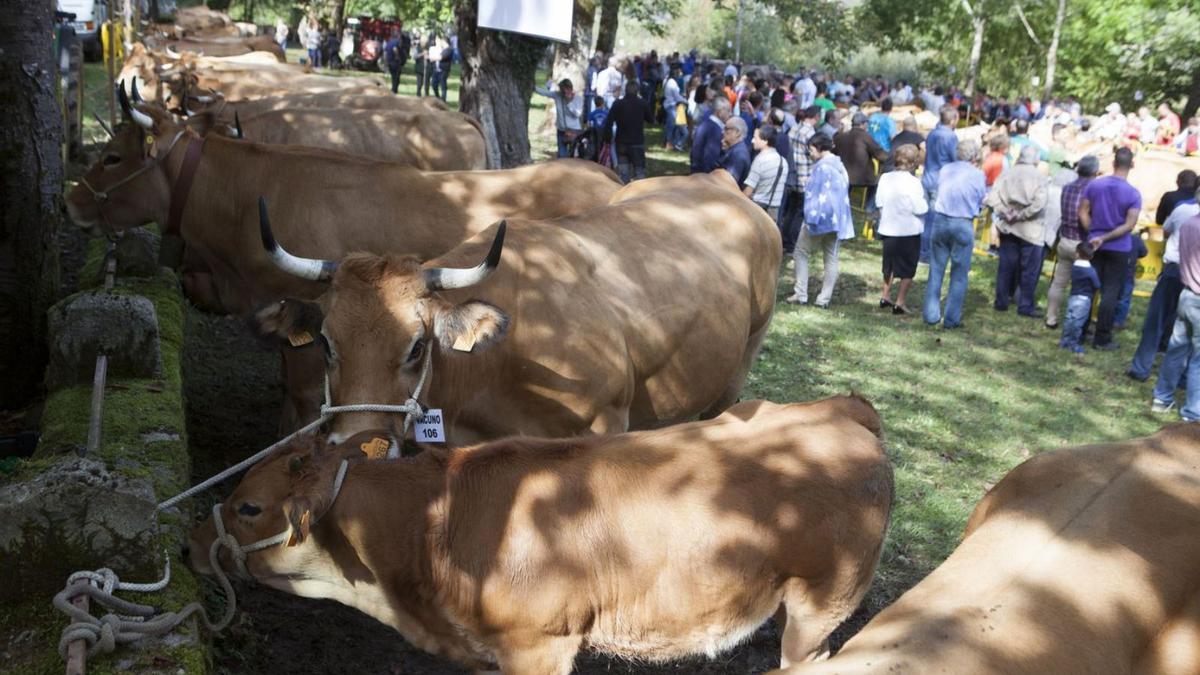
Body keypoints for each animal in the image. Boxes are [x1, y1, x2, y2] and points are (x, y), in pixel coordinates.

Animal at [259, 168, 782, 444]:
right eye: (326, 343)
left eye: (417, 347)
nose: (359, 443)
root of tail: (715, 179)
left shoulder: (606, 426)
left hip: (739, 367)